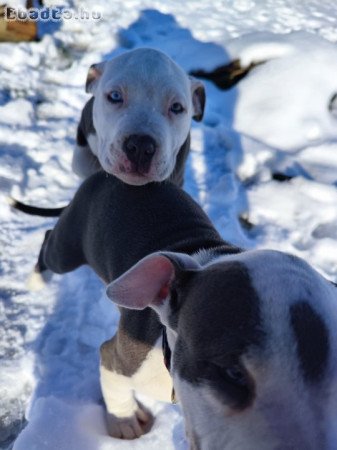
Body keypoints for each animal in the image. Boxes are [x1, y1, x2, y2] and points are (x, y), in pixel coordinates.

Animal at [34, 171, 336, 448]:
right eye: (233, 373)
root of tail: (103, 172)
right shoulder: (120, 358)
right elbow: (112, 376)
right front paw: (125, 422)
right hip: (68, 247)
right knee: (49, 241)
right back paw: (36, 278)